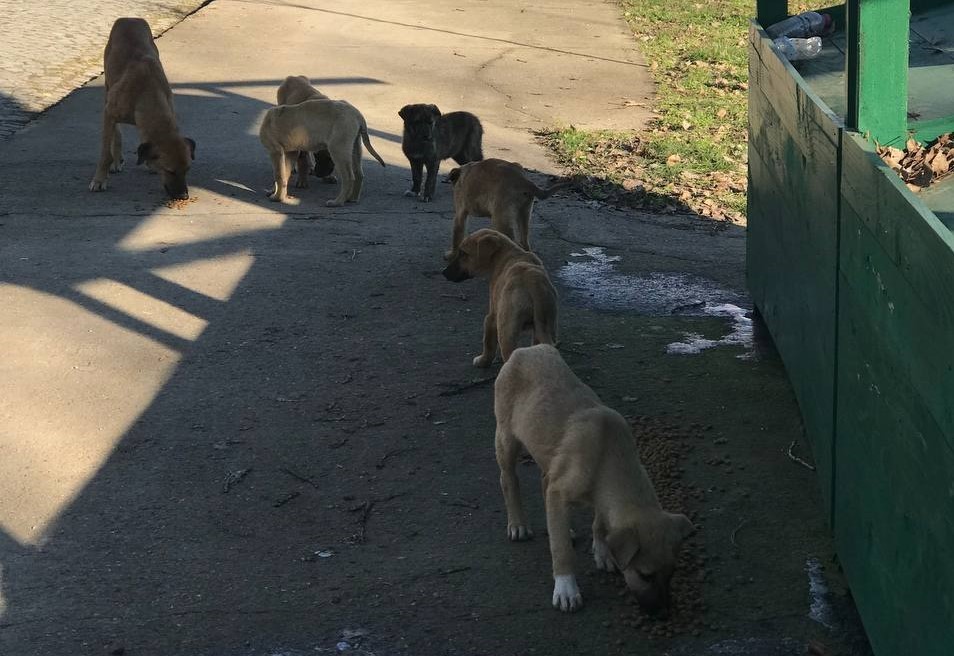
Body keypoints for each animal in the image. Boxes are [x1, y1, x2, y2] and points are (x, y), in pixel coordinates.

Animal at [88, 18, 194, 197]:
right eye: (170, 171)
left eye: (187, 170)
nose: (183, 196)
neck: (148, 92)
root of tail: (129, 18)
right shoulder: (109, 112)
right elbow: (105, 153)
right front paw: (100, 179)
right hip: (108, 86)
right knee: (116, 131)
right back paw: (116, 160)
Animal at [440, 228, 556, 366]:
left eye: (464, 253)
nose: (444, 272)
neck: (507, 255)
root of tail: (533, 283)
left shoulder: (492, 316)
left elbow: (488, 342)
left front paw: (483, 360)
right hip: (546, 326)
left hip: (506, 330)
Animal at [490, 346, 692, 612]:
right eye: (644, 575)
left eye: (672, 573)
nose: (664, 615)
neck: (609, 456)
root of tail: (523, 350)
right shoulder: (561, 490)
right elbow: (562, 550)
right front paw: (566, 588)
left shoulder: (597, 498)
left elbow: (599, 523)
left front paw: (603, 553)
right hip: (506, 438)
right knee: (509, 479)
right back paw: (518, 525)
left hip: (549, 458)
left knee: (545, 485)